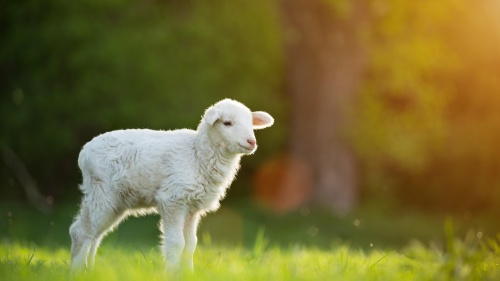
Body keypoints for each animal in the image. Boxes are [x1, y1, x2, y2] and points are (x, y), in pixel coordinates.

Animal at [68, 99, 274, 274]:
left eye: (251, 123)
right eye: (227, 123)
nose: (251, 142)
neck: (197, 153)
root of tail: (84, 152)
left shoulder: (192, 207)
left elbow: (190, 244)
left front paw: (189, 273)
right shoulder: (173, 199)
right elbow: (176, 243)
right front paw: (171, 273)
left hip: (116, 201)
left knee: (95, 234)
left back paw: (90, 270)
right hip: (101, 191)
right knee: (81, 232)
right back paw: (77, 272)